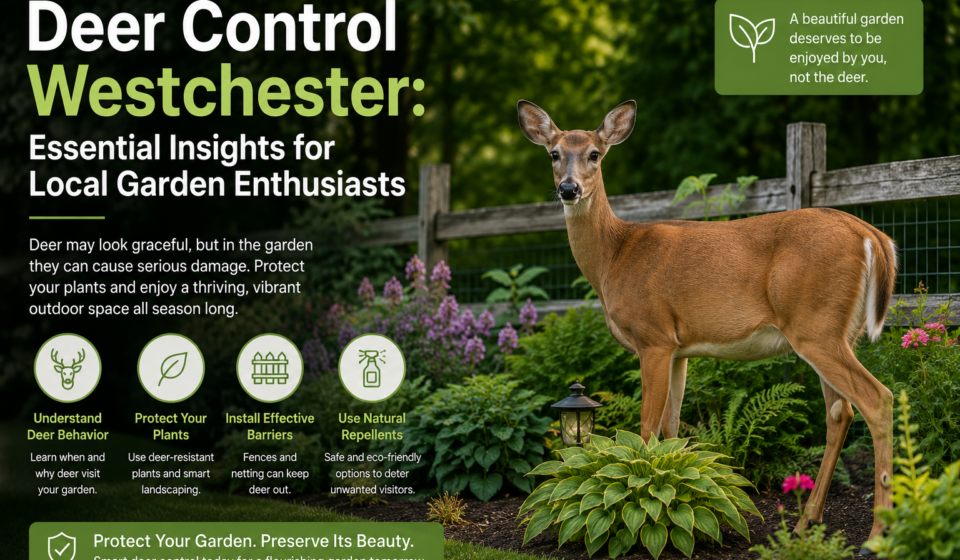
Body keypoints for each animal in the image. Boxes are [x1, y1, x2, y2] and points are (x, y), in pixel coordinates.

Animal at [518, 99, 896, 552]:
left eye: (595, 153)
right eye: (553, 154)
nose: (569, 189)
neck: (614, 256)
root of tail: (872, 235)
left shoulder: (653, 336)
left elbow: (646, 426)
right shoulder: (679, 349)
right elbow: (671, 426)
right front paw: (663, 484)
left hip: (815, 327)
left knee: (878, 399)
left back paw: (876, 536)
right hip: (837, 332)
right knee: (841, 413)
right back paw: (807, 522)